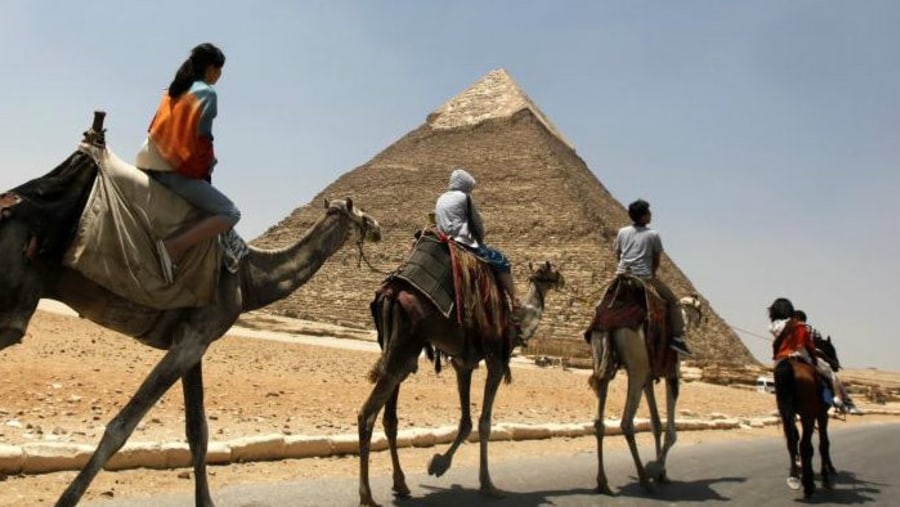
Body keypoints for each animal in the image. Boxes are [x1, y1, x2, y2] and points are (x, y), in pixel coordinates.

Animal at [0, 113, 384, 506]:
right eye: (361, 216)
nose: (378, 228)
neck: (249, 277)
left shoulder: (194, 340)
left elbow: (197, 431)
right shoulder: (193, 340)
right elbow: (122, 426)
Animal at [356, 260, 564, 506]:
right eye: (553, 271)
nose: (563, 280)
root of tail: (389, 295)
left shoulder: (463, 364)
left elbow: (466, 422)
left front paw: (438, 464)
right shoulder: (496, 362)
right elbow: (484, 423)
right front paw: (488, 485)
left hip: (395, 352)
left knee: (389, 419)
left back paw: (400, 485)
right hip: (405, 346)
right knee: (367, 414)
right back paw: (367, 496)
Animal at [588, 280, 708, 494]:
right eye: (699, 309)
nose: (704, 321)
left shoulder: (649, 379)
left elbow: (656, 424)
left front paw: (662, 473)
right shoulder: (672, 375)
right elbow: (671, 433)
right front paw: (657, 468)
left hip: (604, 362)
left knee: (599, 422)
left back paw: (603, 482)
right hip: (636, 367)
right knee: (626, 423)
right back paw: (644, 479)